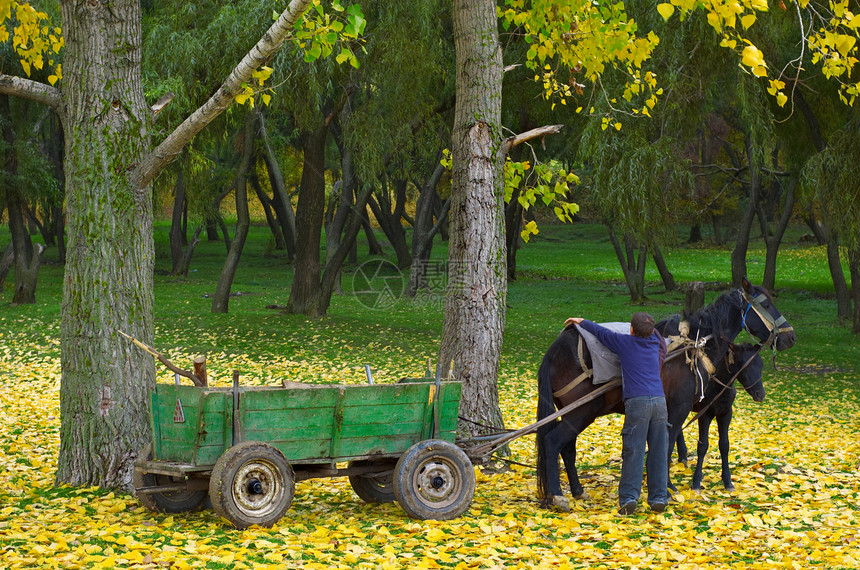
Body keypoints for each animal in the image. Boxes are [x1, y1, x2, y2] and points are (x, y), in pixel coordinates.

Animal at [676, 340, 768, 490]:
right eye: (741, 363)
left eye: (761, 364)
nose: (760, 394)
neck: (717, 387)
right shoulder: (705, 415)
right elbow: (702, 446)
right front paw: (696, 482)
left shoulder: (725, 414)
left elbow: (724, 445)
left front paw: (727, 481)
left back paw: (682, 458)